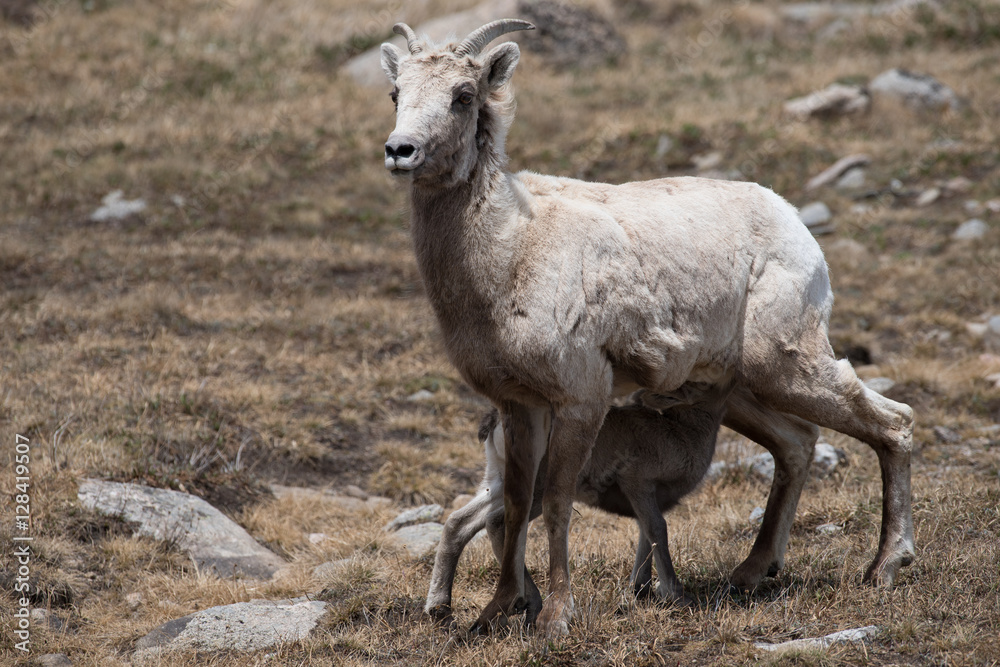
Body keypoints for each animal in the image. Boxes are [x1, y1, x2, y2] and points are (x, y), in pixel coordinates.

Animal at [424, 383, 819, 628]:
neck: (680, 434)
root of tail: (494, 421)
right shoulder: (638, 483)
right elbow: (658, 530)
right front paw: (676, 595)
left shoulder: (649, 498)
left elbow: (646, 534)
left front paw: (641, 590)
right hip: (535, 489)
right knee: (500, 525)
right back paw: (524, 605)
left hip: (496, 481)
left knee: (463, 522)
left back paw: (445, 607)